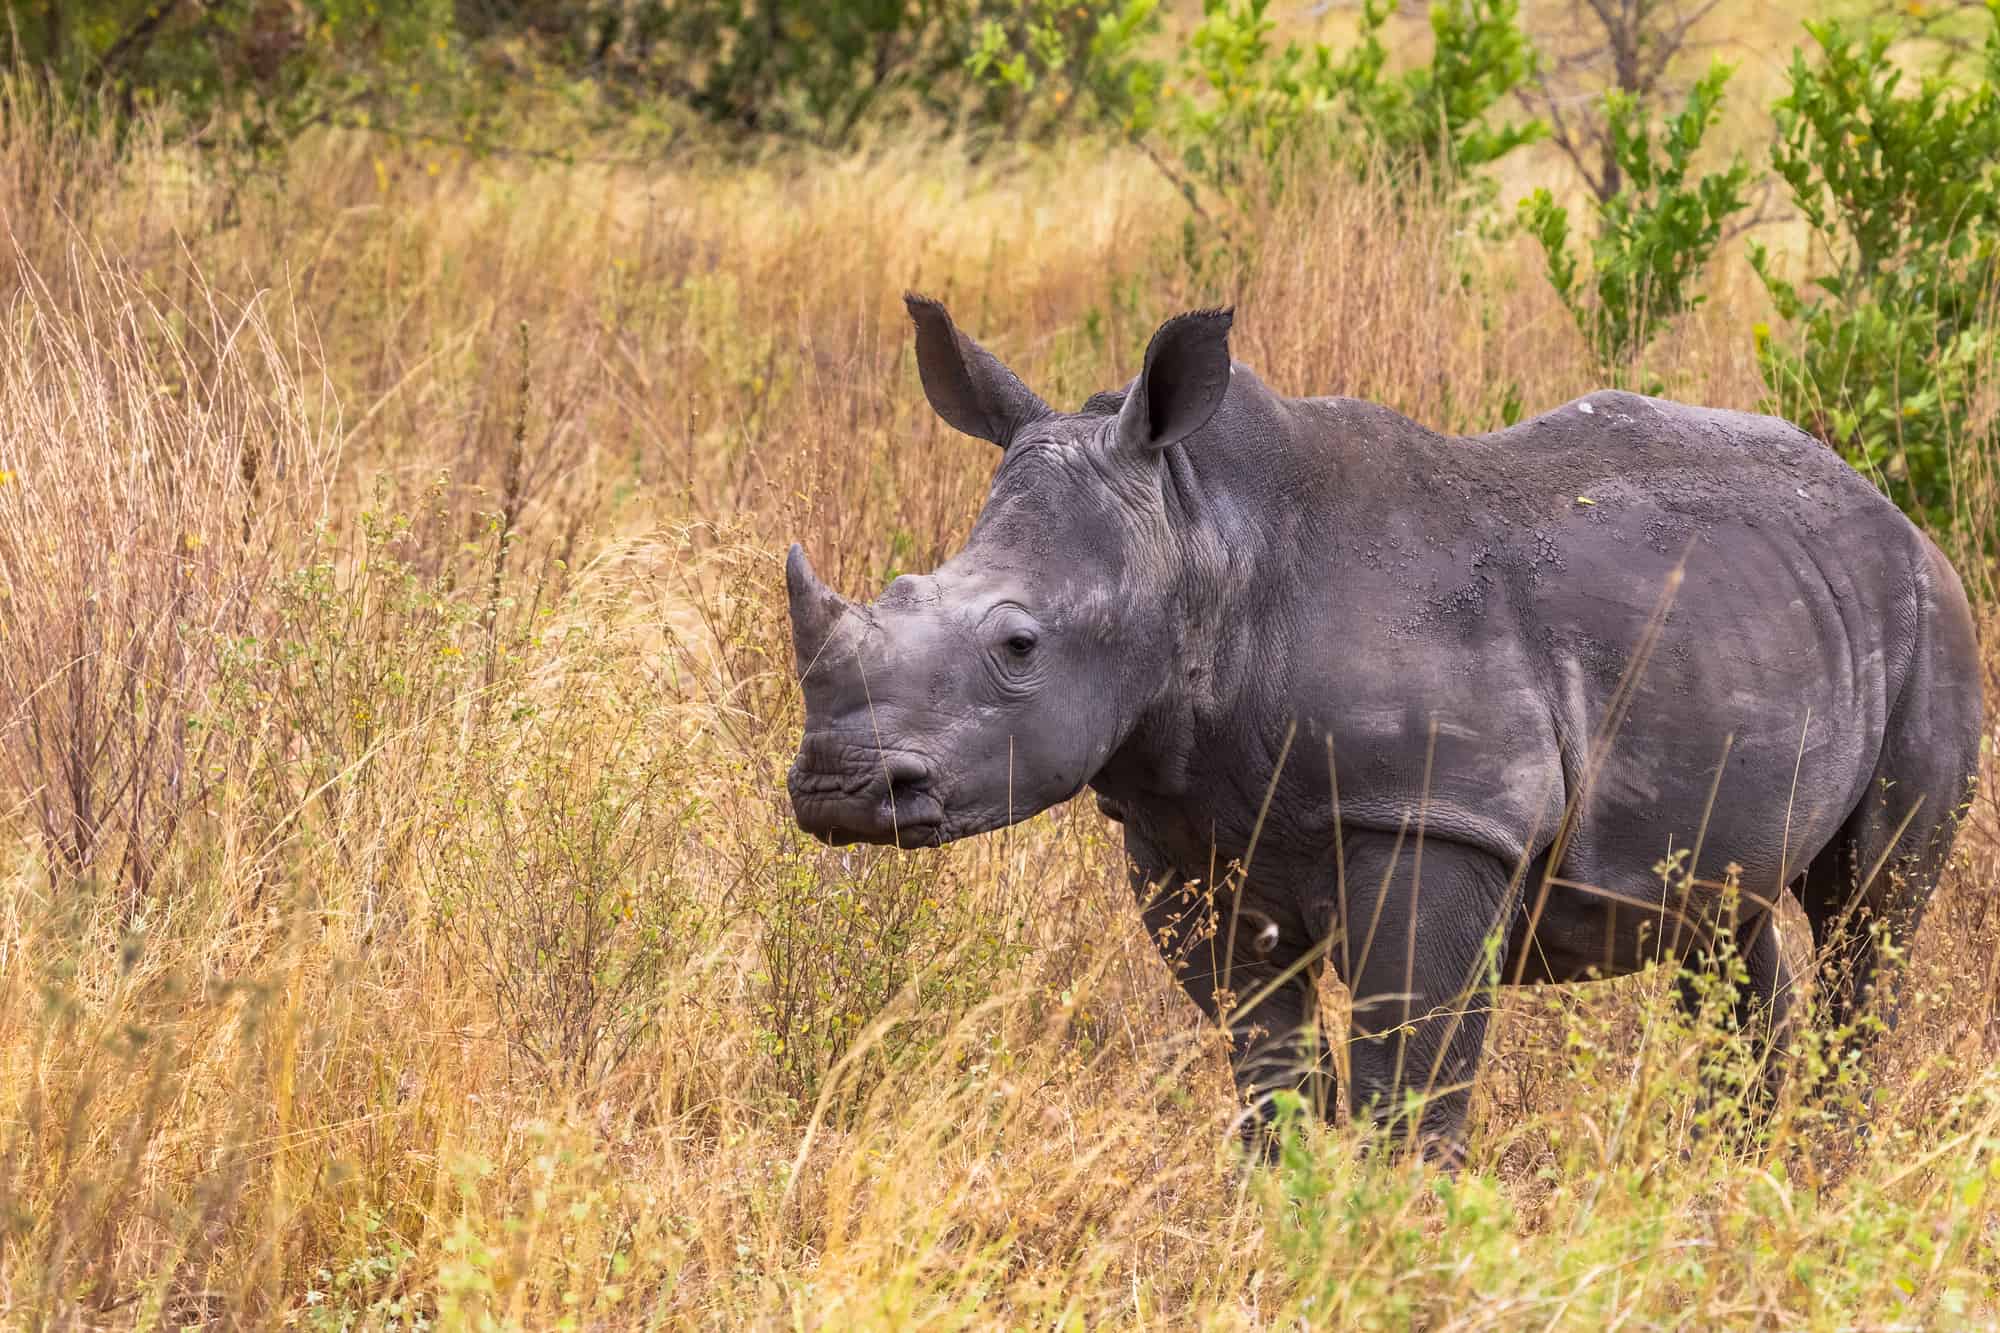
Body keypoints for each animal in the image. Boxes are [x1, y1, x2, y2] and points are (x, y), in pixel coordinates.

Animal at [783, 295, 1983, 1158]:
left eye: (1019, 645)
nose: (840, 787)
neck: (1203, 539)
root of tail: (1888, 508)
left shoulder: (1439, 810)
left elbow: (1409, 1074)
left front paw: (1394, 1236)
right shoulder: (1184, 837)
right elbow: (1267, 1065)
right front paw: (1288, 1212)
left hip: (1933, 616)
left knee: (1869, 915)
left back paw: (1809, 1177)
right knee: (1723, 919)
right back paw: (1725, 1181)